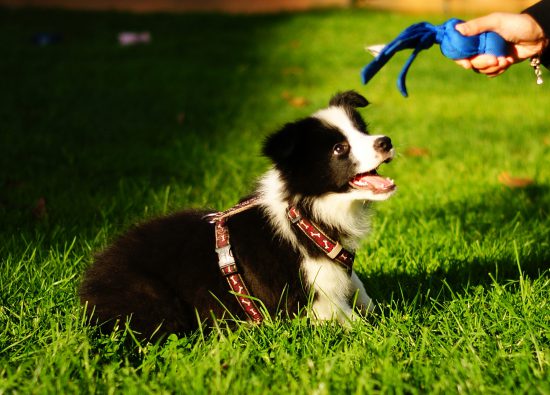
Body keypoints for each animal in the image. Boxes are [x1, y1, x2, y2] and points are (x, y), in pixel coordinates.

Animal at [80, 91, 396, 338]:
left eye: (363, 131)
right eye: (339, 148)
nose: (386, 141)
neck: (304, 213)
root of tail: (89, 284)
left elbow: (359, 288)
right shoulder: (313, 299)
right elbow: (354, 321)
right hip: (154, 300)